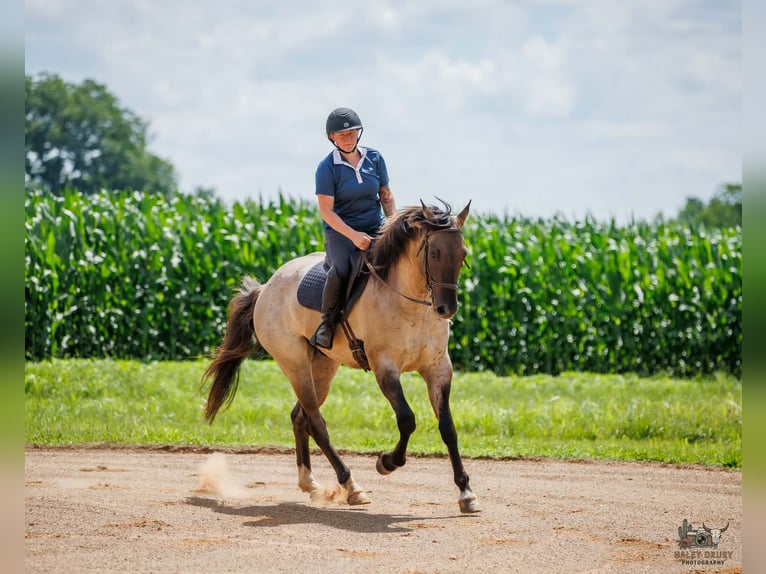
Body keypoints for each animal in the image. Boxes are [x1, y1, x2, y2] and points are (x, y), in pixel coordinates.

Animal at [202, 200, 479, 513]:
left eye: (463, 254)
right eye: (434, 253)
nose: (447, 309)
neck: (408, 302)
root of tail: (265, 289)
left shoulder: (438, 369)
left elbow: (448, 428)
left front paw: (466, 492)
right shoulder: (385, 369)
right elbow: (407, 420)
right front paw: (386, 462)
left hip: (323, 367)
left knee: (300, 416)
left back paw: (310, 484)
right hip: (295, 365)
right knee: (316, 422)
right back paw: (351, 486)